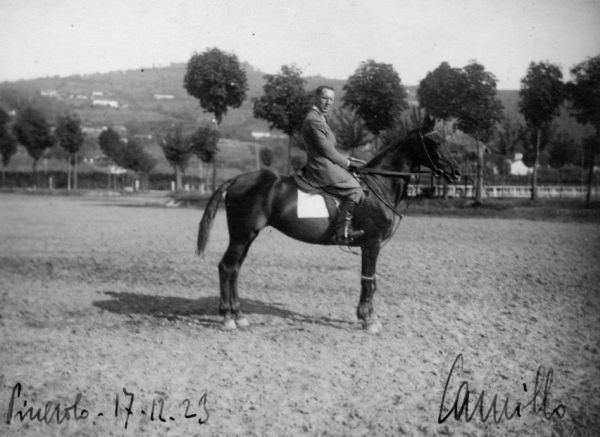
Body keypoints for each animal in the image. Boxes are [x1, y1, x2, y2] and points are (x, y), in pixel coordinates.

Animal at [197, 116, 460, 330]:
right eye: (435, 142)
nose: (456, 173)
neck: (378, 186)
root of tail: (236, 179)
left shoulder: (370, 245)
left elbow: (370, 280)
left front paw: (368, 316)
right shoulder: (372, 244)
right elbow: (368, 280)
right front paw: (368, 319)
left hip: (247, 236)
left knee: (235, 269)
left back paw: (239, 315)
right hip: (242, 235)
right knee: (227, 267)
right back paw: (227, 318)